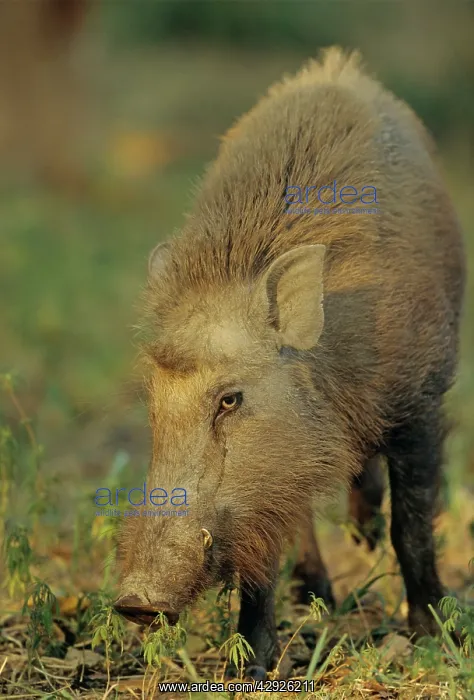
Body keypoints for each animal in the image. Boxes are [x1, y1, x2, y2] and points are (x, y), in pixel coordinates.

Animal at [114, 47, 465, 679]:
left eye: (231, 398)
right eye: (152, 403)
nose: (136, 600)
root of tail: (337, 66)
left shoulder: (420, 403)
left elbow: (413, 525)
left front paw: (433, 637)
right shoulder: (270, 482)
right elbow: (264, 557)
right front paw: (252, 670)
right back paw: (317, 594)